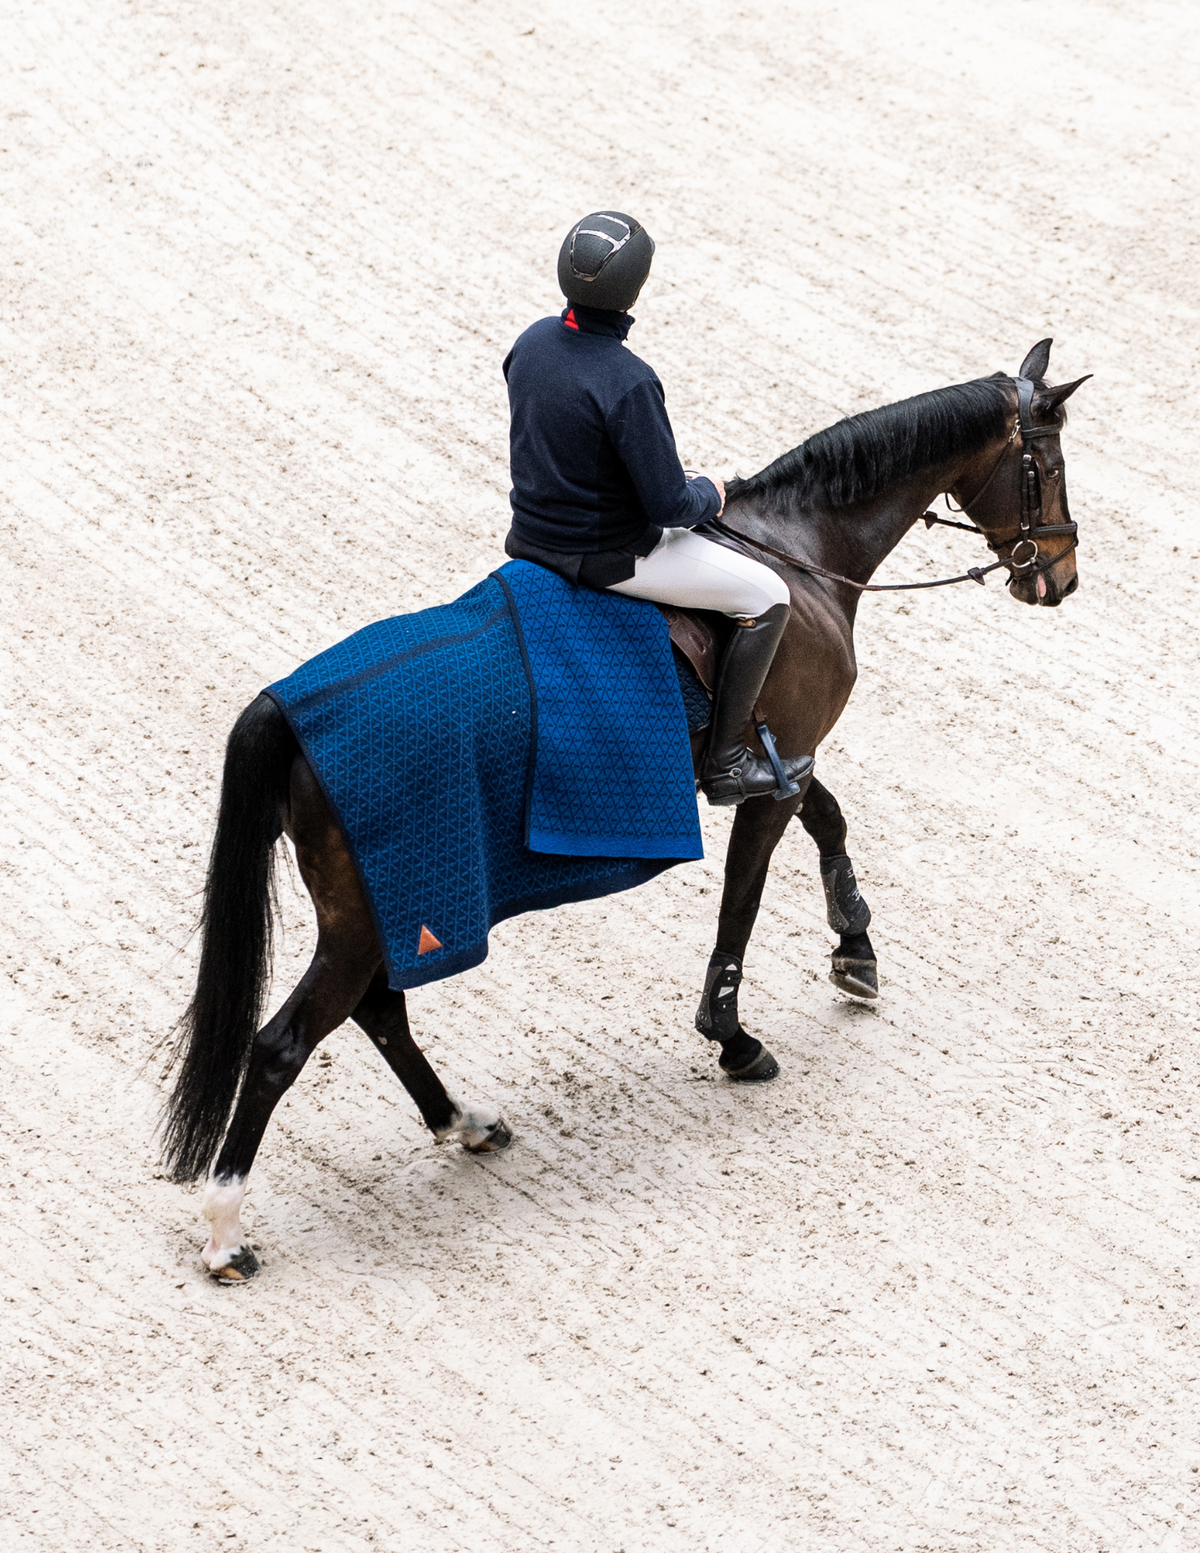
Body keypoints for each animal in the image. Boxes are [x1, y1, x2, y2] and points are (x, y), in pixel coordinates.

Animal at [162, 338, 1088, 1280]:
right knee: (284, 1044)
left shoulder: (784, 760)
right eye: (1047, 465)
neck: (798, 552)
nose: (1060, 579)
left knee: (379, 1011)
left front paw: (855, 952)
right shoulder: (772, 767)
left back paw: (466, 1122)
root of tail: (288, 708)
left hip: (391, 904)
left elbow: (830, 821)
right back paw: (227, 1232)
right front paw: (734, 1037)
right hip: (370, 914)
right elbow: (744, 902)